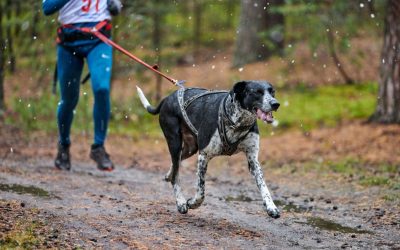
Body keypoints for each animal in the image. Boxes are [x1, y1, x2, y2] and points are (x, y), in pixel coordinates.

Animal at [138, 81, 282, 218]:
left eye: (272, 91)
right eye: (257, 92)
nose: (275, 104)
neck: (237, 123)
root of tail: (167, 98)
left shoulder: (252, 159)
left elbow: (263, 185)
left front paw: (271, 207)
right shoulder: (204, 156)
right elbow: (201, 191)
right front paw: (192, 203)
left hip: (190, 148)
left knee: (175, 164)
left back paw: (169, 175)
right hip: (175, 143)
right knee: (176, 175)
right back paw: (180, 202)